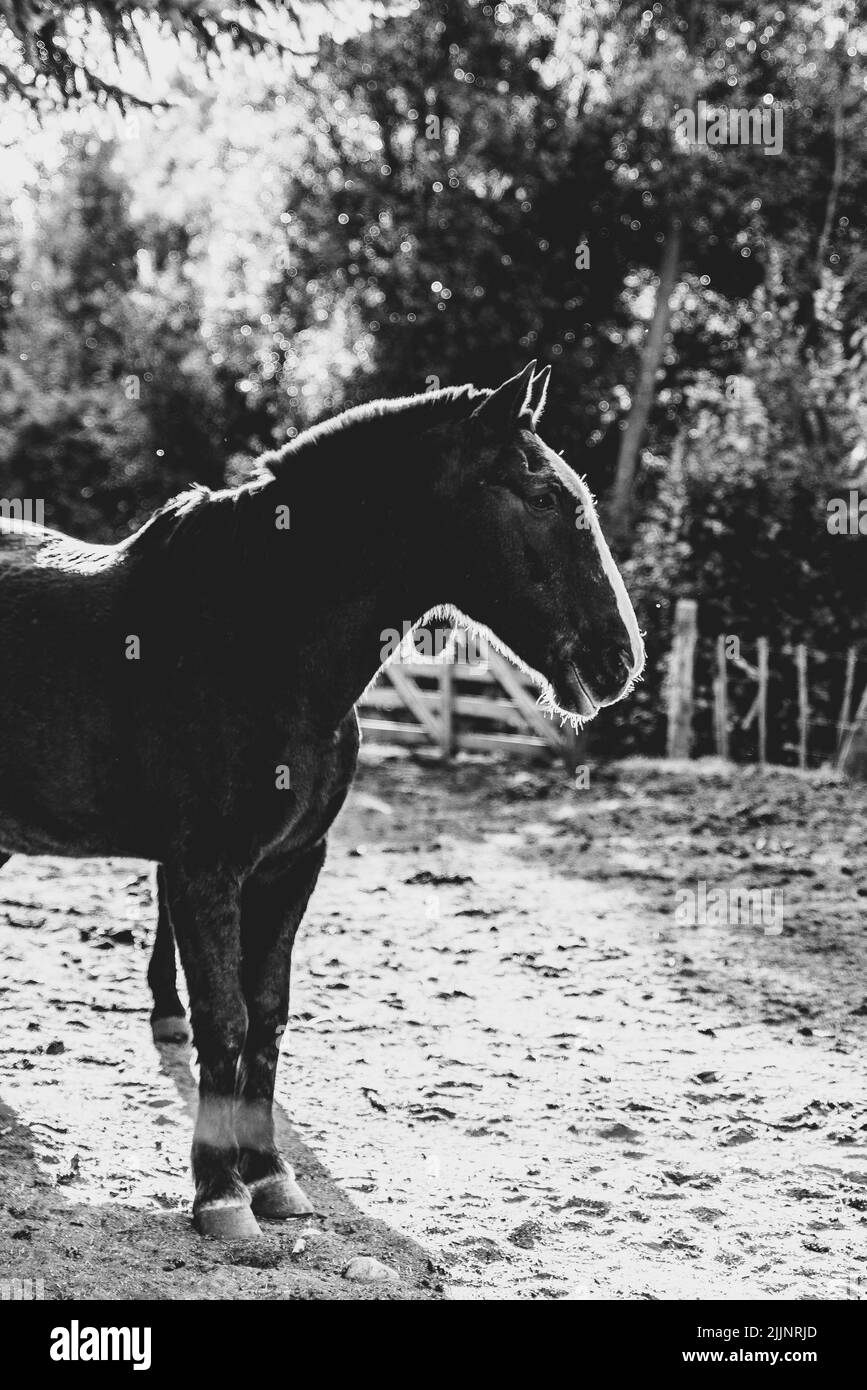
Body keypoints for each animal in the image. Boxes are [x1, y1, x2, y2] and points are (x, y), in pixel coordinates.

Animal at [0, 361, 644, 1239]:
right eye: (543, 497)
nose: (620, 661)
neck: (253, 642)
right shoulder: (205, 871)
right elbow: (224, 1018)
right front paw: (219, 1193)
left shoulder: (292, 864)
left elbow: (267, 1014)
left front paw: (270, 1177)